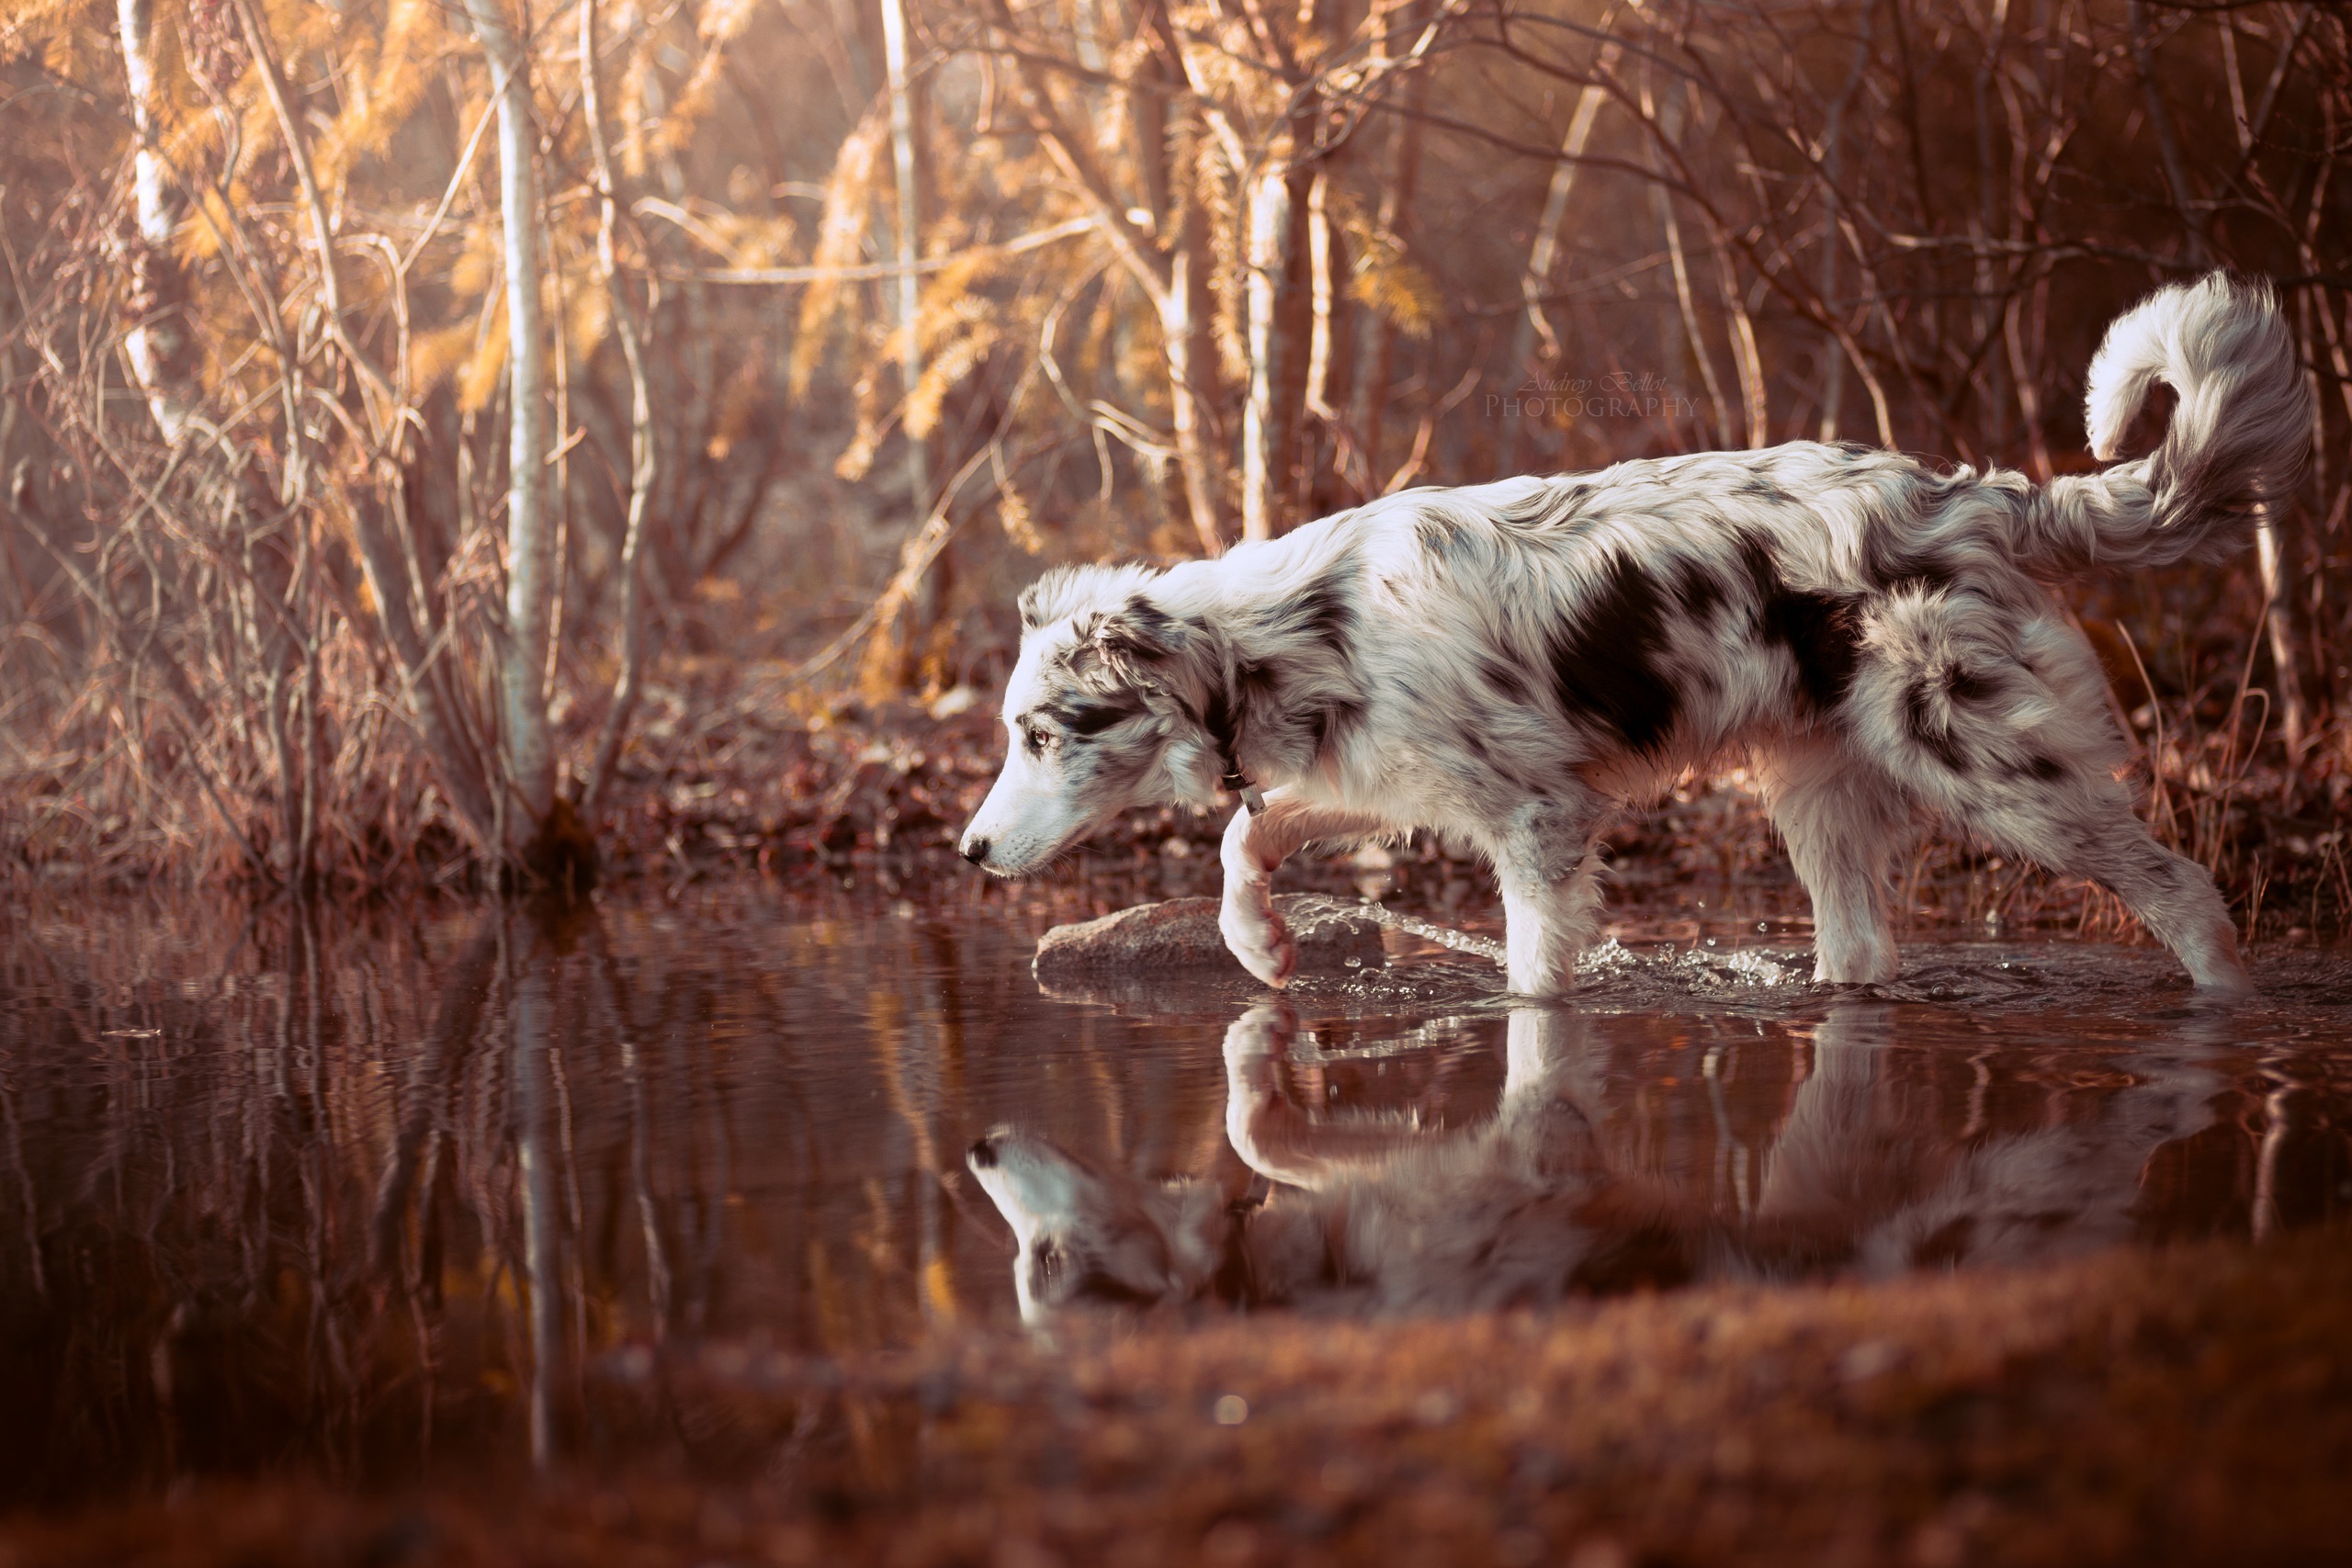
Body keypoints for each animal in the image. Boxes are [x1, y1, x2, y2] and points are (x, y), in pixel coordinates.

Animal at [959, 271, 2314, 1001]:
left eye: (1043, 735)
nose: (966, 850)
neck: (1299, 630)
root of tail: (1980, 493)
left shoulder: (1540, 822)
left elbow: (1530, 981)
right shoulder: (1383, 779)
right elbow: (1248, 833)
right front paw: (1261, 944)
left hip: (1995, 768)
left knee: (2186, 891)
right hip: (1817, 799)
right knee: (1861, 953)